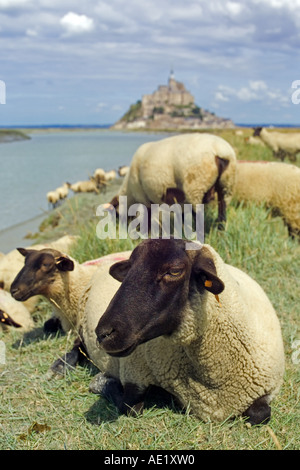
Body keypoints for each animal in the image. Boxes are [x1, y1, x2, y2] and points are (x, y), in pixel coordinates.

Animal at [95, 239, 284, 426]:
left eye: (174, 271)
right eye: (130, 268)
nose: (103, 334)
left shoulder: (268, 389)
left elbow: (260, 414)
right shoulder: (134, 374)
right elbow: (130, 407)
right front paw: (102, 383)